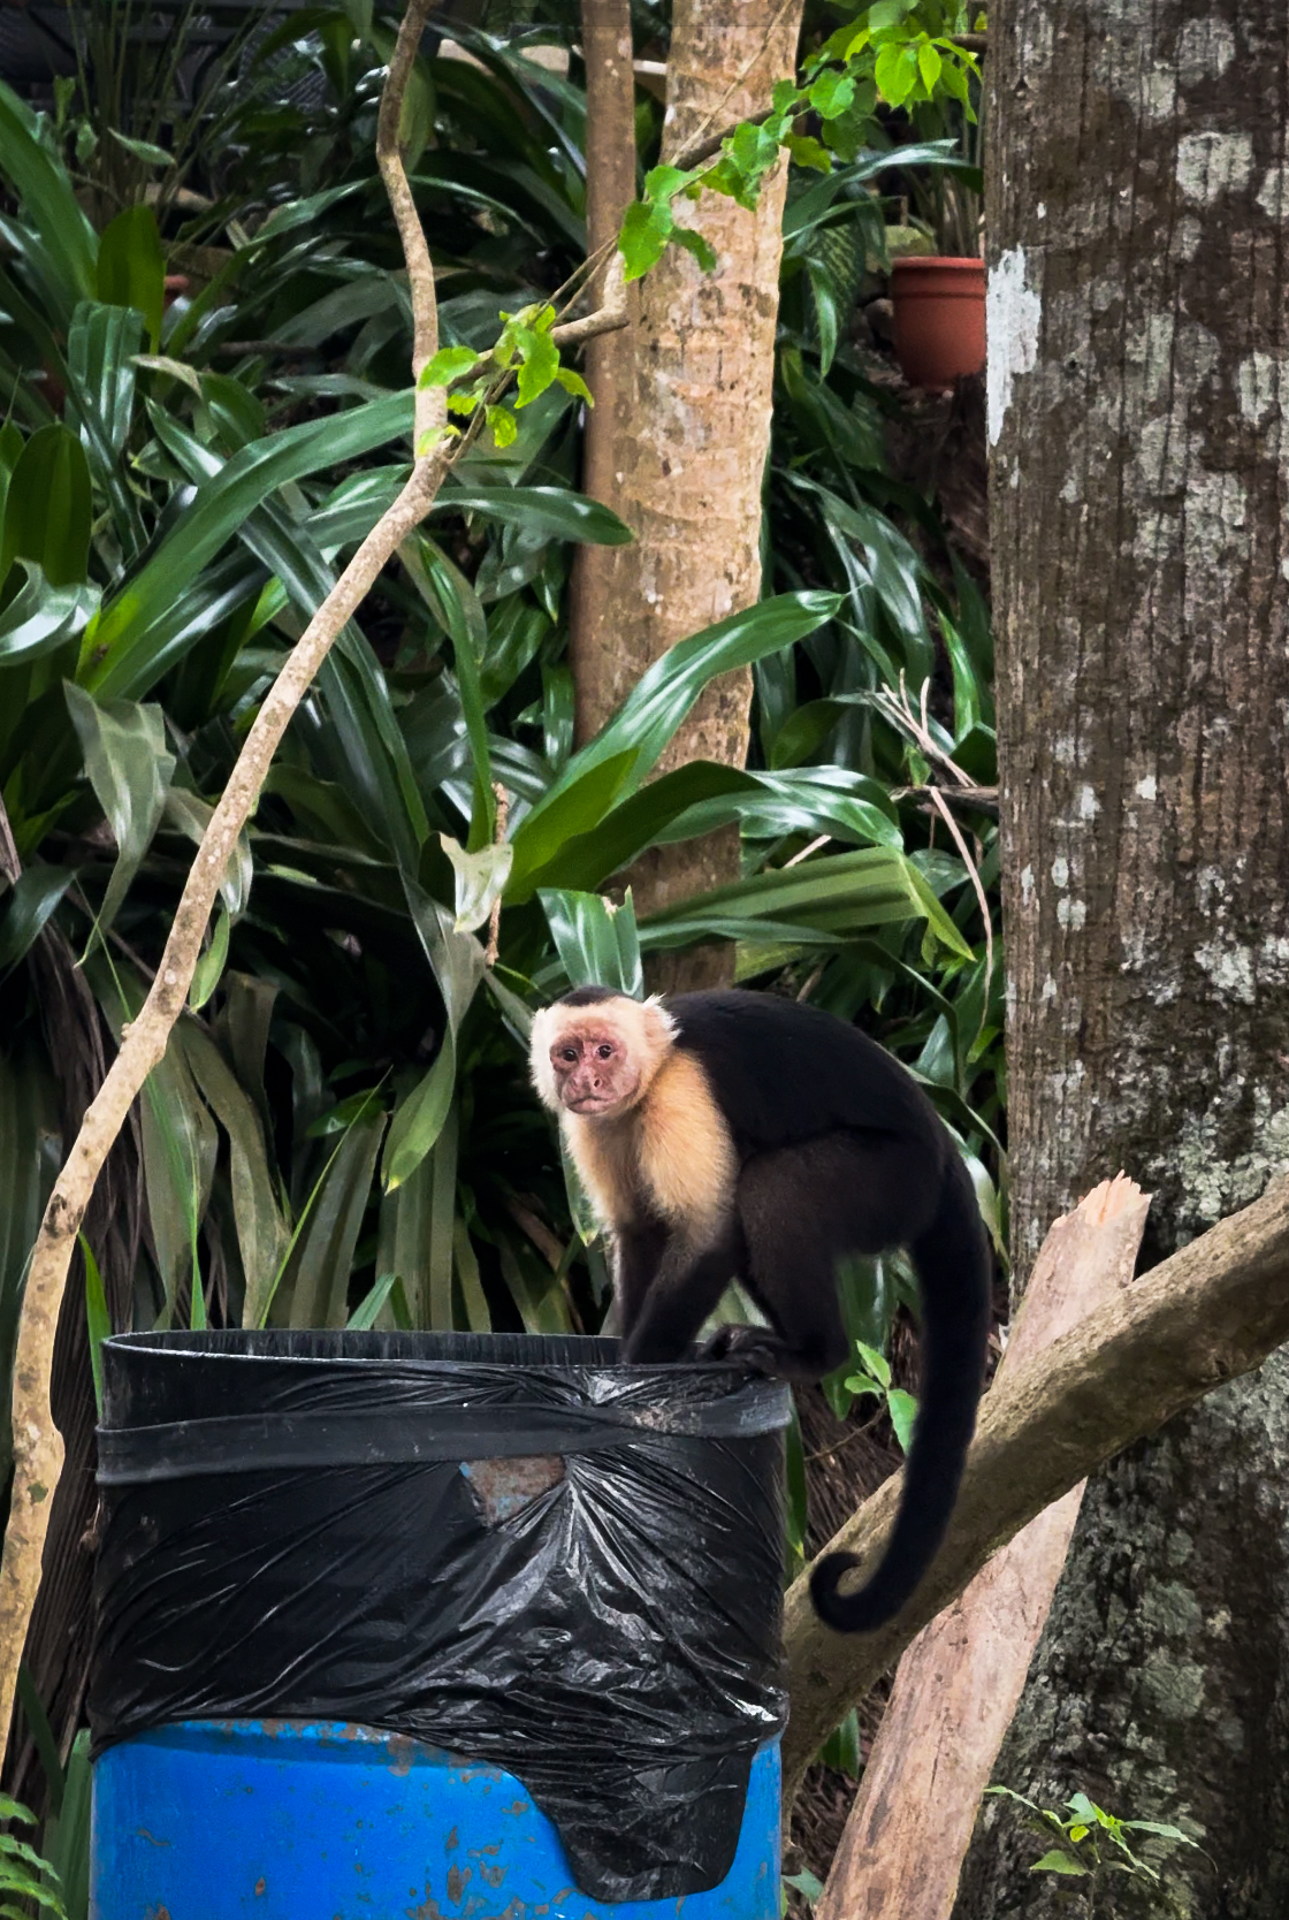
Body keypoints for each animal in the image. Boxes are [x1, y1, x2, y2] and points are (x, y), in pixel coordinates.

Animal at [529, 985, 991, 1633]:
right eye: (567, 1054)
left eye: (605, 1051)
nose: (588, 1080)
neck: (649, 1077)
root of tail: (948, 1151)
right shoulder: (598, 1126)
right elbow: (641, 1233)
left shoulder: (681, 1093)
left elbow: (711, 1233)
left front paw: (632, 1391)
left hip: (897, 1181)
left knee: (774, 1188)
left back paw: (814, 1353)